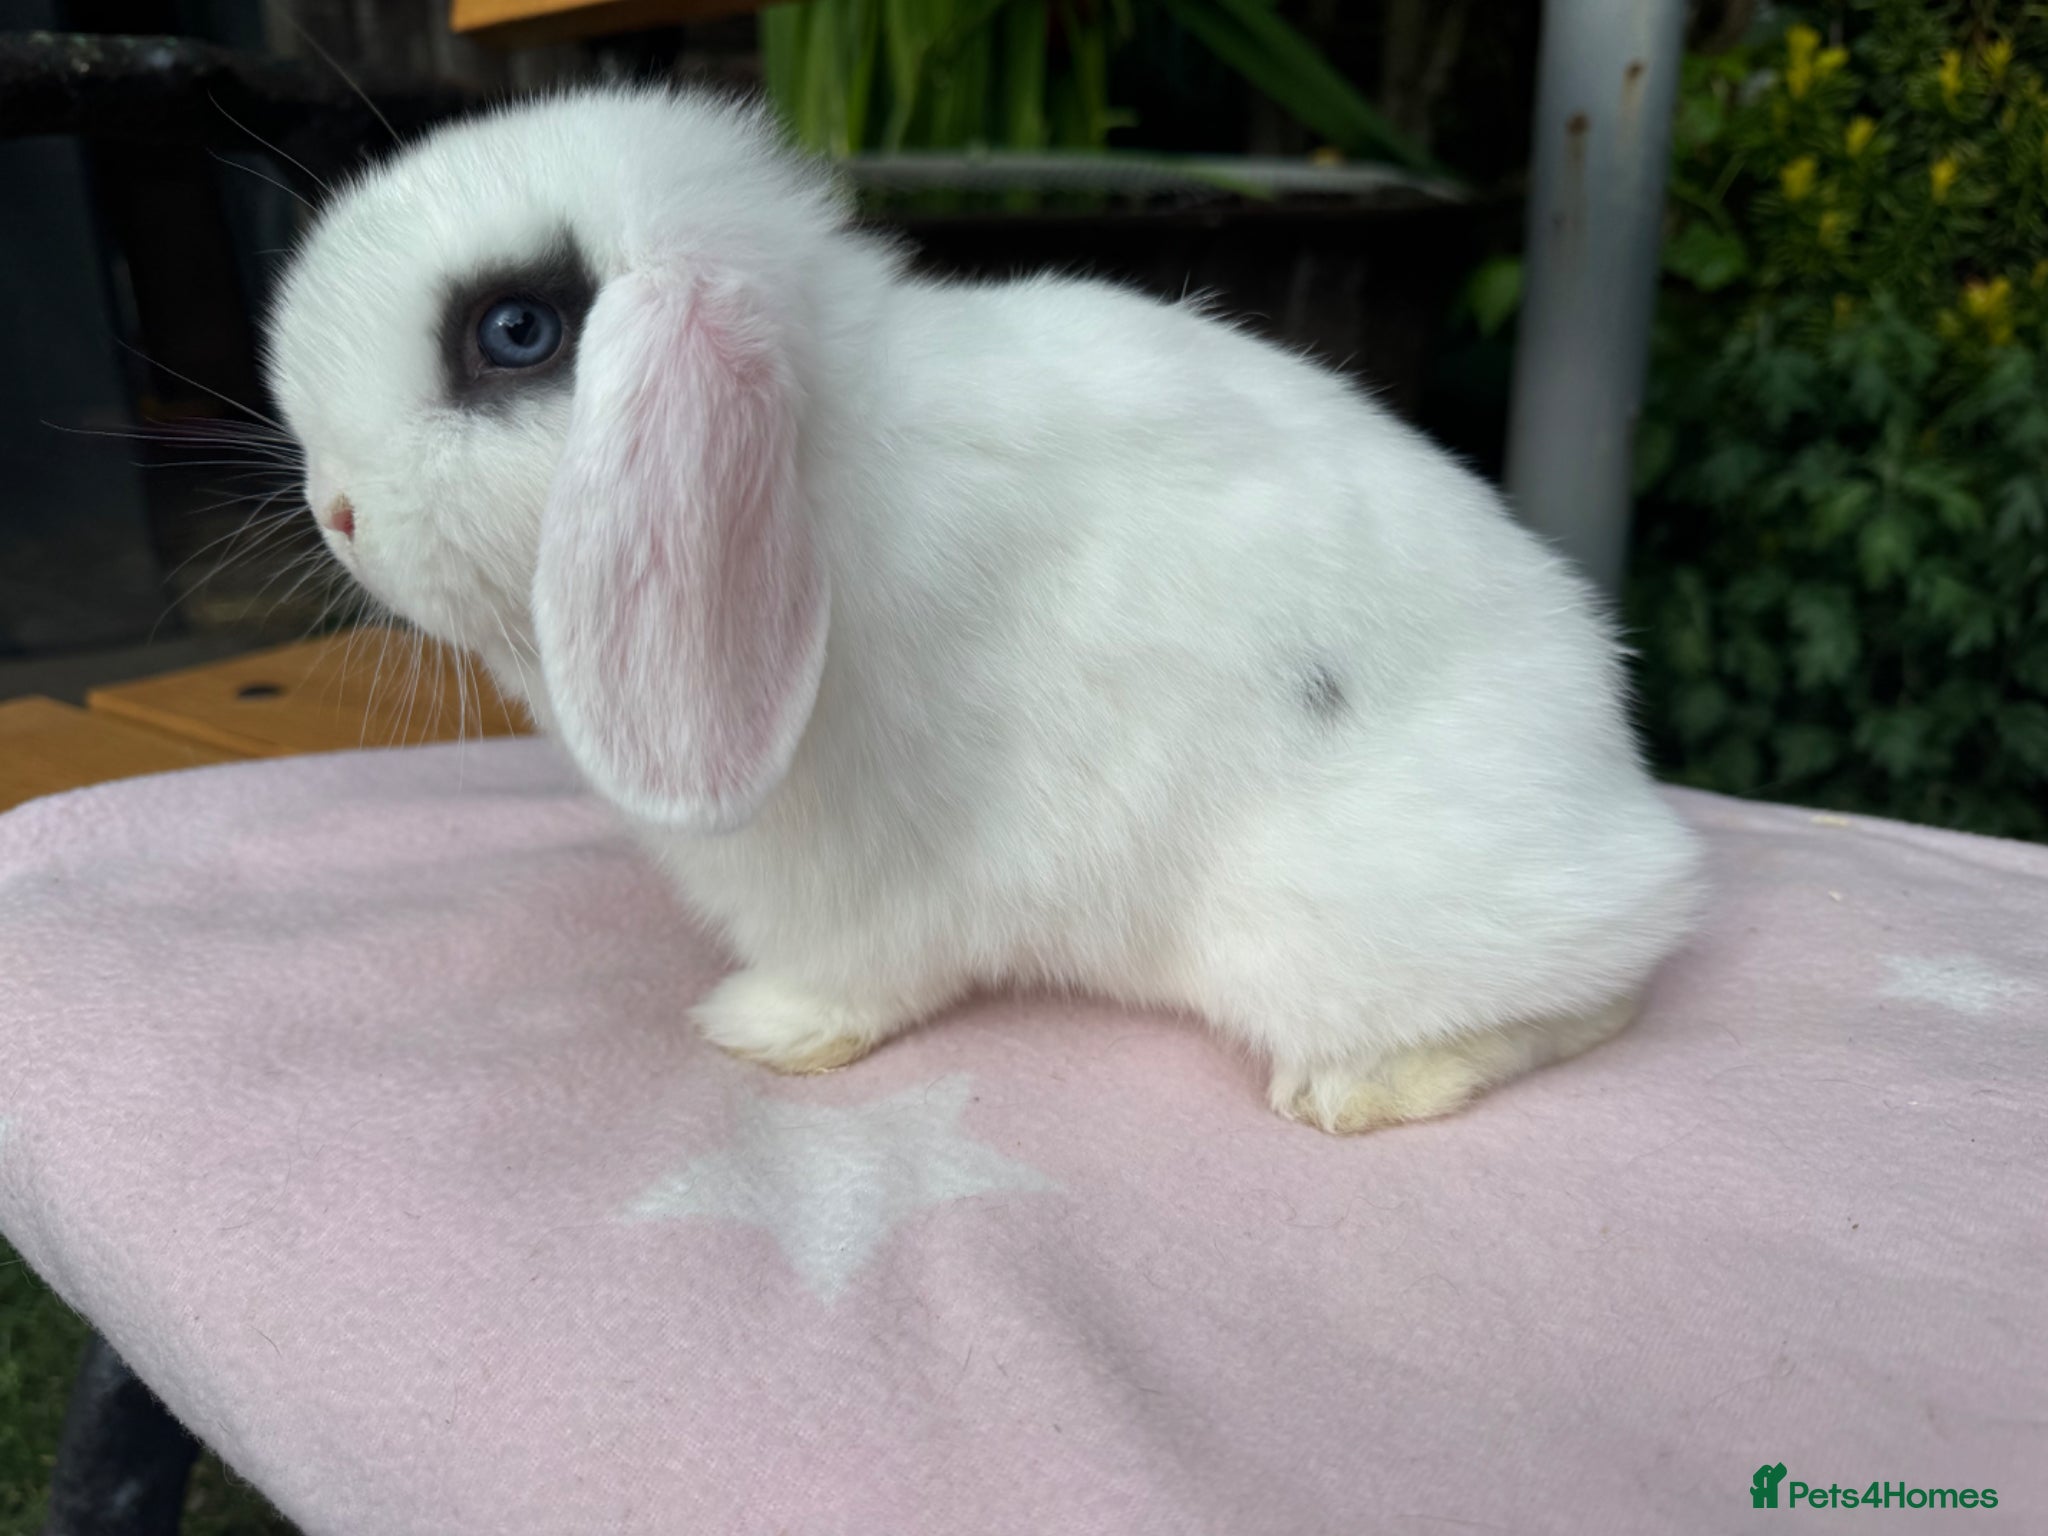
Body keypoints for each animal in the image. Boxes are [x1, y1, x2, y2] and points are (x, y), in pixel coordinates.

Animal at [266, 85, 1703, 1134]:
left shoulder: (856, 883)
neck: (821, 461)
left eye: (517, 330)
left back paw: (1353, 1089)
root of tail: (1621, 799)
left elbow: (857, 977)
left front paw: (758, 1029)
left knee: (1596, 992)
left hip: (1337, 930)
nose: (334, 508)